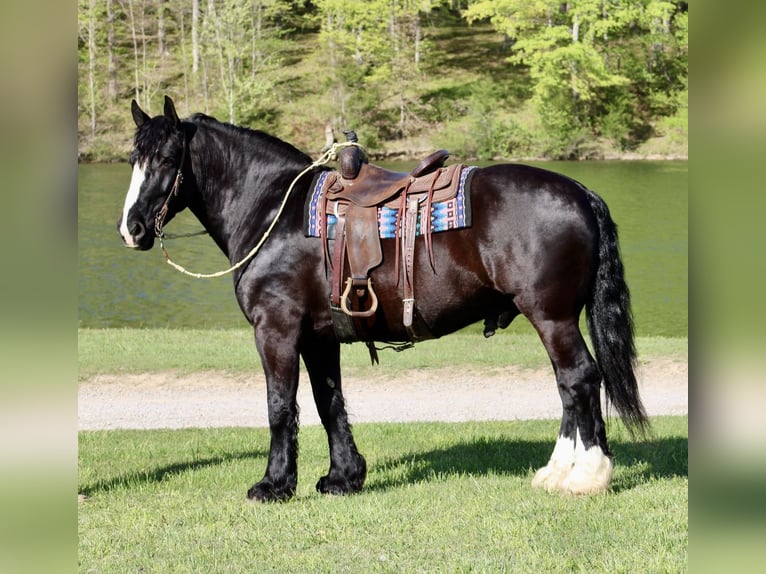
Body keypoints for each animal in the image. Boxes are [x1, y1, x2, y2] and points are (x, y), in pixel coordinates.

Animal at [120, 97, 648, 502]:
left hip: (551, 317)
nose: (133, 229)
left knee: (579, 380)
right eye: (133, 160)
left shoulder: (277, 329)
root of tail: (578, 190)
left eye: (166, 159)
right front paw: (343, 477)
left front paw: (273, 485)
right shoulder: (318, 337)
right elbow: (328, 401)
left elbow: (279, 405)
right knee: (570, 387)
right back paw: (560, 471)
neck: (273, 210)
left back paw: (584, 476)